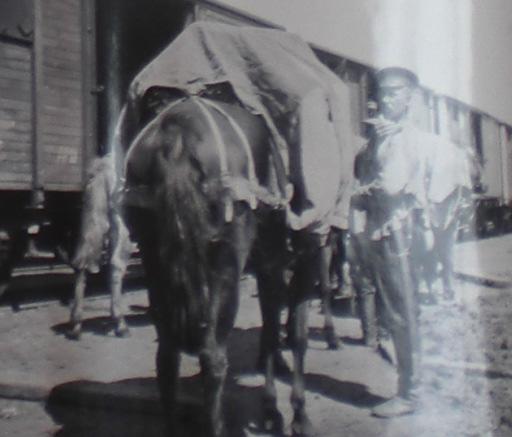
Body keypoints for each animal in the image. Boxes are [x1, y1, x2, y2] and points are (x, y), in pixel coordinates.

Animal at [124, 95, 332, 436]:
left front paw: (273, 409)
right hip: (226, 266)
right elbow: (294, 334)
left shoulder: (270, 264)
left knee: (166, 358)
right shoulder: (303, 256)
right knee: (213, 358)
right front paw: (294, 415)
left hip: (155, 260)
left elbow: (274, 330)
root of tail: (176, 134)